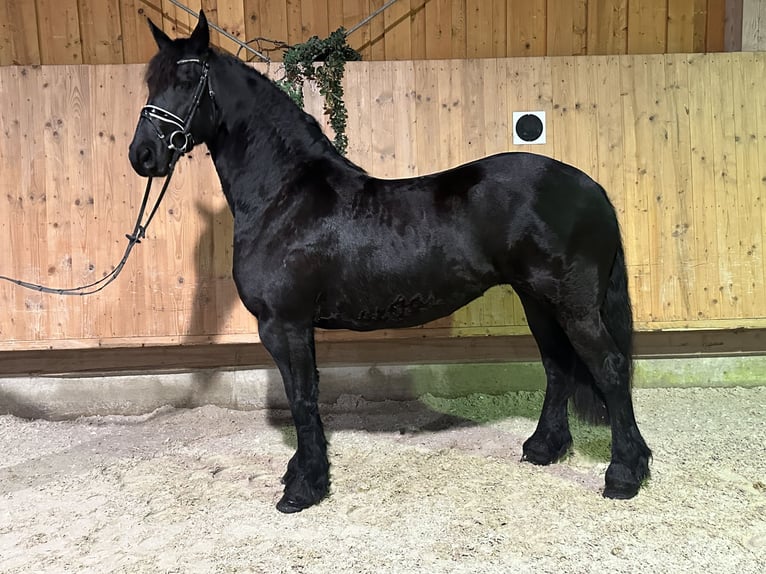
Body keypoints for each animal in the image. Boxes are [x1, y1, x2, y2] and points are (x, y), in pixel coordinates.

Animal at [128, 12, 651, 513]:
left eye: (187, 79)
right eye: (151, 82)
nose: (143, 155)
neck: (286, 195)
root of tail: (592, 188)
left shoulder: (284, 323)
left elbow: (301, 397)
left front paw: (303, 488)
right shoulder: (294, 326)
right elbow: (306, 396)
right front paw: (303, 472)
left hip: (572, 305)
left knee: (608, 366)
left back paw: (624, 474)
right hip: (537, 301)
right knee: (558, 364)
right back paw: (545, 447)